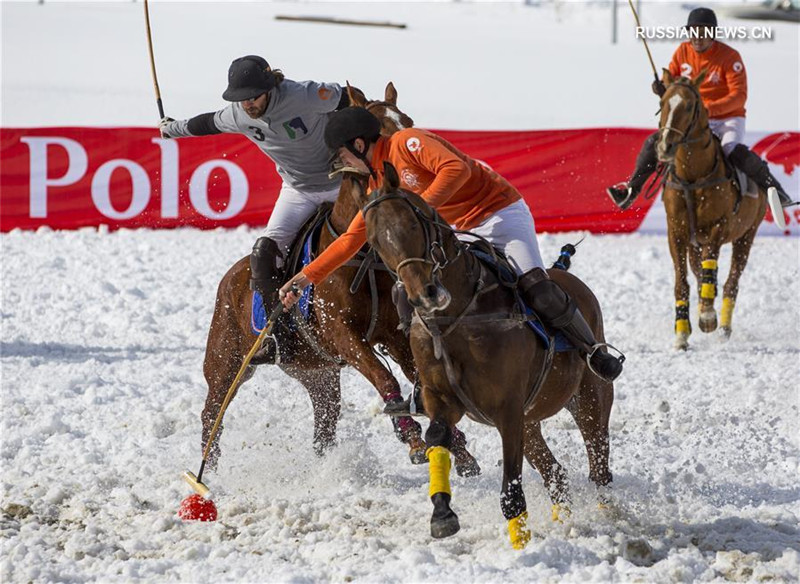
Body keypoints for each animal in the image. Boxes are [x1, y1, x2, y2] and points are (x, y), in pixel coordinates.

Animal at [200, 85, 478, 474]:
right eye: (379, 126)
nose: (414, 169)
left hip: (319, 374)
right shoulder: (344, 335)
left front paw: (459, 448)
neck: (364, 258)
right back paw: (208, 471)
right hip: (226, 361)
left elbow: (418, 380)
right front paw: (412, 439)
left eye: (407, 120)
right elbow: (384, 376)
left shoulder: (393, 336)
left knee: (324, 426)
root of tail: (230, 278)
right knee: (213, 412)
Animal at [352, 165, 612, 552]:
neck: (457, 316)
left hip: (591, 397)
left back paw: (609, 515)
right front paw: (442, 515)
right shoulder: (445, 399)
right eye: (372, 240)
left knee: (599, 464)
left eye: (411, 225)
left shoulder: (507, 408)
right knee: (556, 473)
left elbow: (510, 490)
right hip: (531, 419)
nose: (426, 295)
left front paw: (520, 544)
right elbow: (437, 437)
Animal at [660, 70, 764, 350]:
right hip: (695, 243)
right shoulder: (677, 232)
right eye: (663, 102)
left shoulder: (718, 227)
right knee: (701, 275)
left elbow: (710, 272)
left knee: (730, 282)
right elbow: (682, 282)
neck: (692, 176)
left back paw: (723, 326)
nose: (665, 147)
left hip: (746, 235)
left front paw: (707, 318)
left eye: (688, 106)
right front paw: (681, 334)